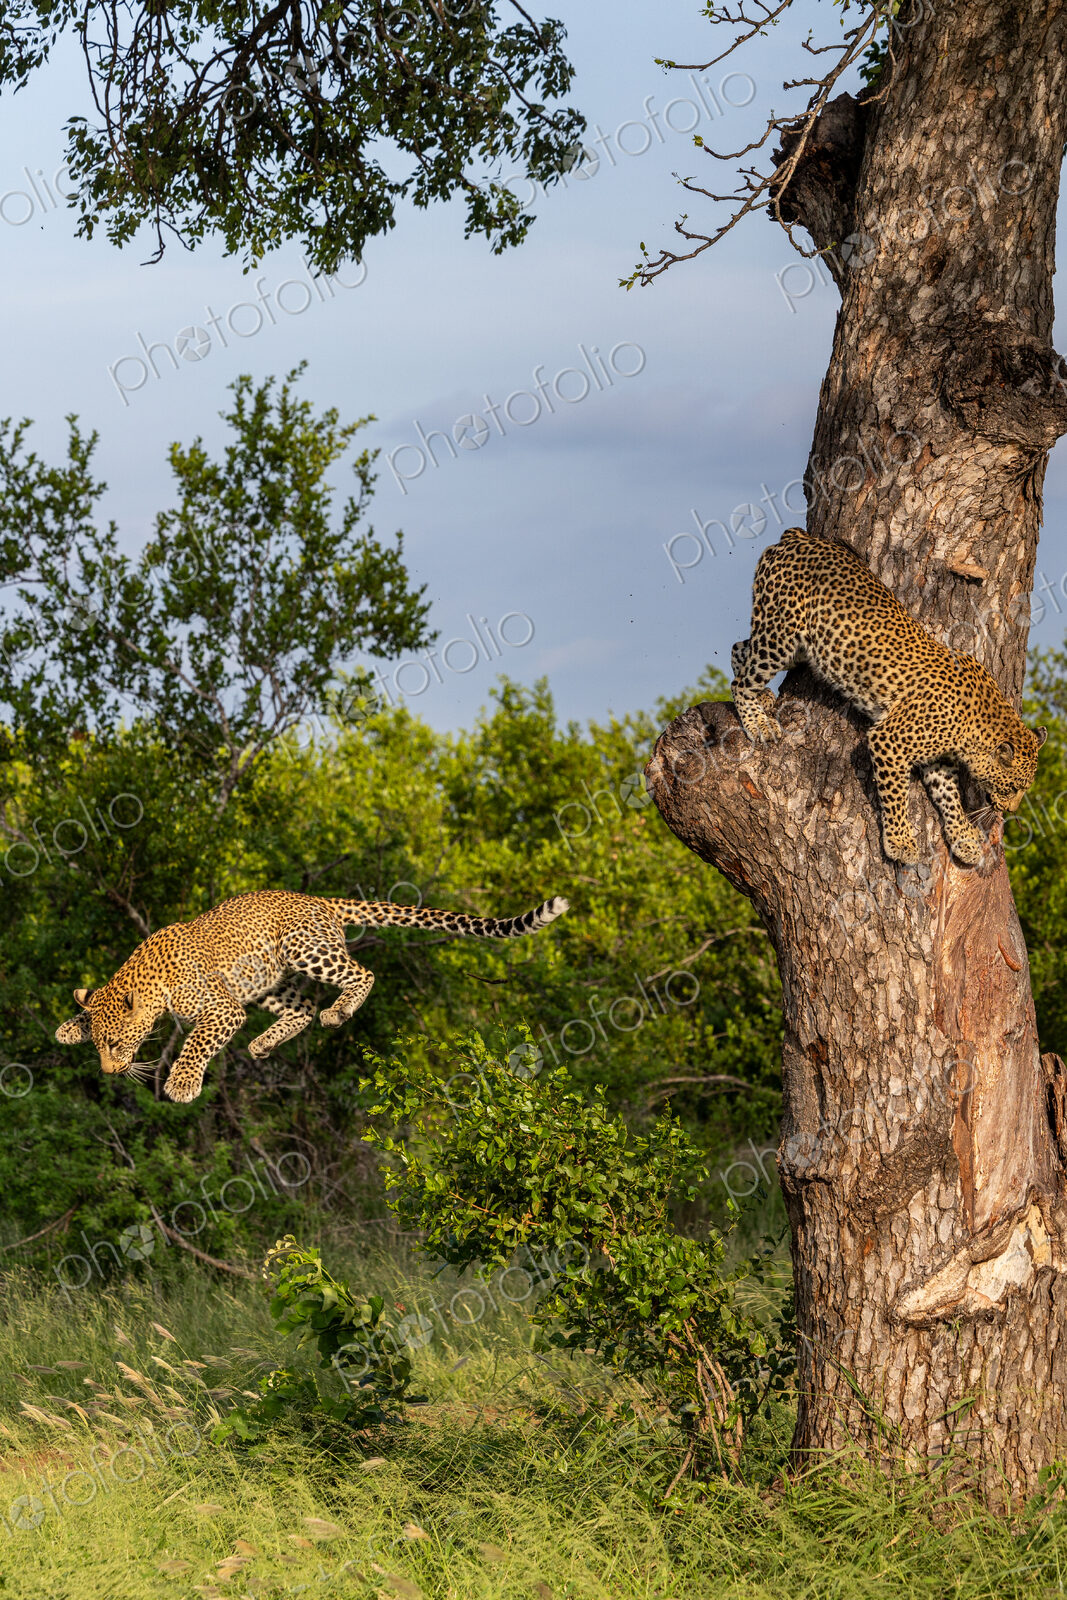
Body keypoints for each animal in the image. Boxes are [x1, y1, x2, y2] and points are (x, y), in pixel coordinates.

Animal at [55, 890, 568, 1103]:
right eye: (100, 1048)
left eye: (116, 1045)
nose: (108, 1073)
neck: (147, 981)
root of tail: (315, 898)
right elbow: (88, 1008)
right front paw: (67, 1028)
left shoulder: (221, 1008)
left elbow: (196, 1043)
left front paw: (182, 1084)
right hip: (266, 978)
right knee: (302, 1008)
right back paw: (264, 1043)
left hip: (304, 948)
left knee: (361, 974)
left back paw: (340, 1011)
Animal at [730, 527, 1047, 867]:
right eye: (1013, 787)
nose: (1009, 810)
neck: (977, 726)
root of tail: (798, 538)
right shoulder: (890, 740)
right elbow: (896, 795)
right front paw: (900, 841)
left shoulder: (938, 759)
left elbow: (950, 798)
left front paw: (963, 838)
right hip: (781, 635)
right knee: (741, 679)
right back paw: (758, 723)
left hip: (800, 646)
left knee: (739, 648)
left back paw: (764, 699)